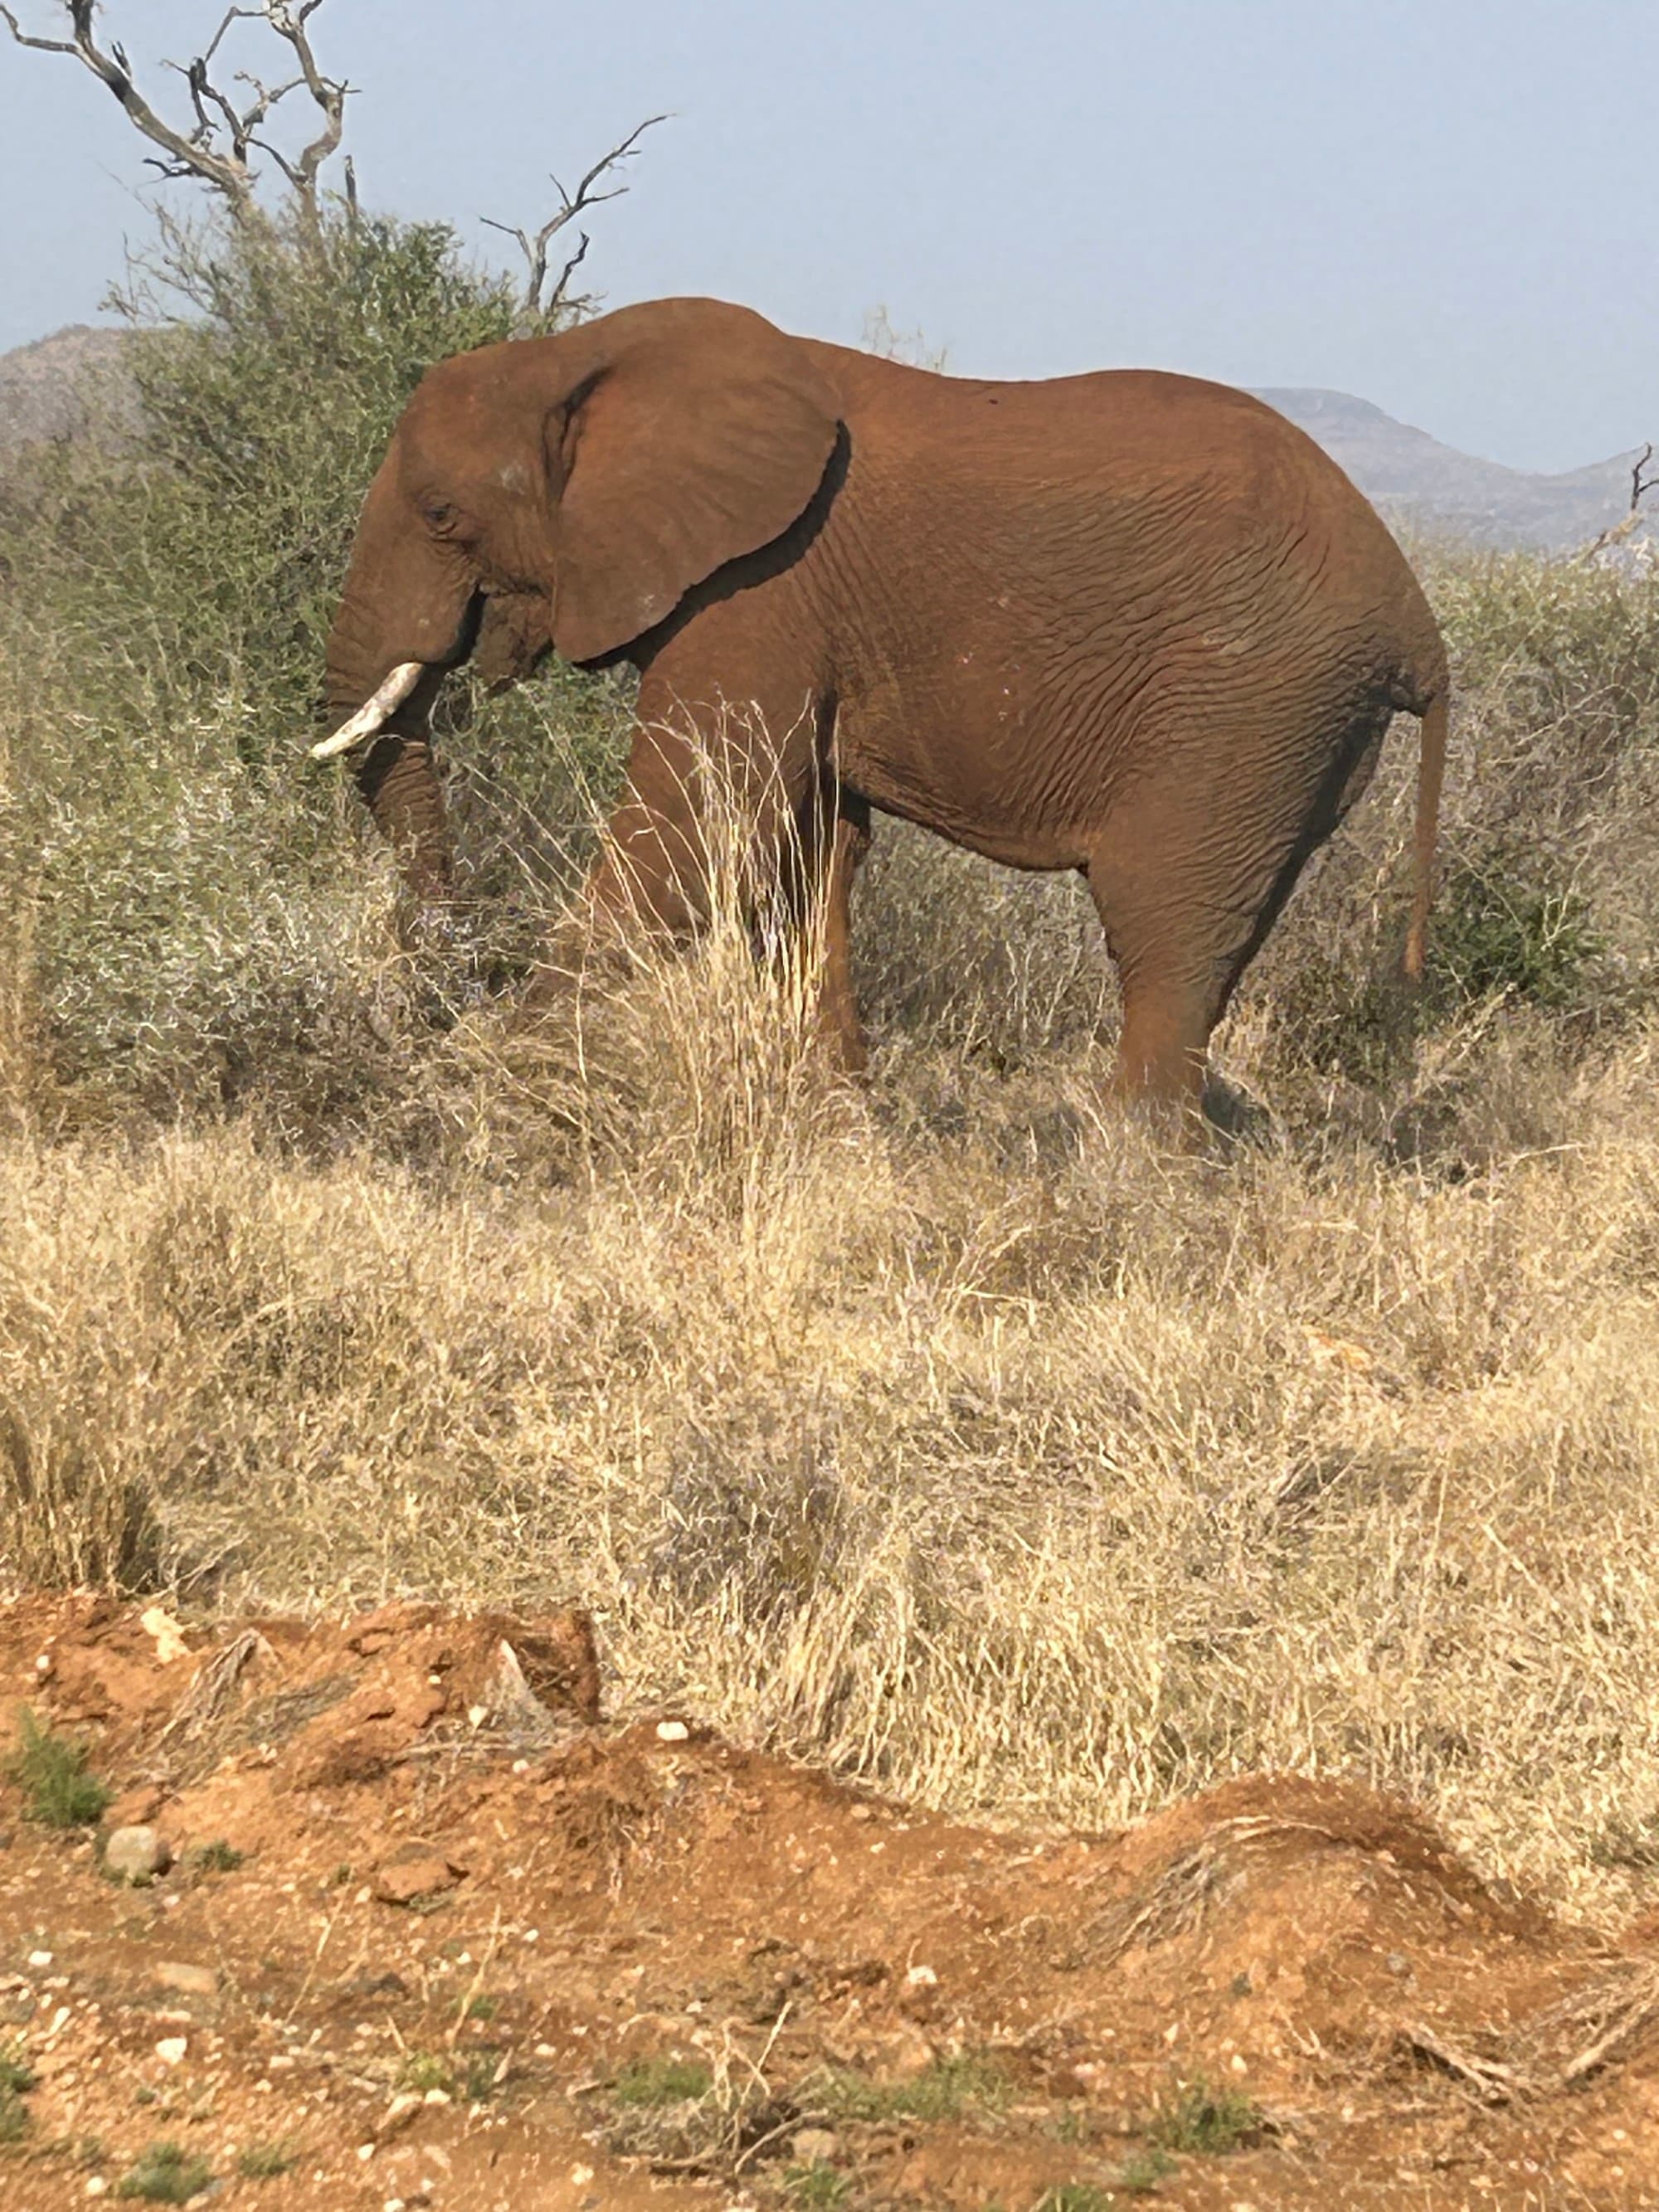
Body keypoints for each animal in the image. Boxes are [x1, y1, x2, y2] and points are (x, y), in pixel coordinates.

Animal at [314, 295, 1447, 1108]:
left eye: (440, 513)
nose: (452, 987)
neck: (571, 357)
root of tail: (1418, 626)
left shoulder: (760, 586)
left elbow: (696, 821)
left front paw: (506, 1080)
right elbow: (810, 851)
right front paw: (840, 1119)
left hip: (1247, 701)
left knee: (1163, 931)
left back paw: (1116, 1183)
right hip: (1299, 728)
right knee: (1214, 939)